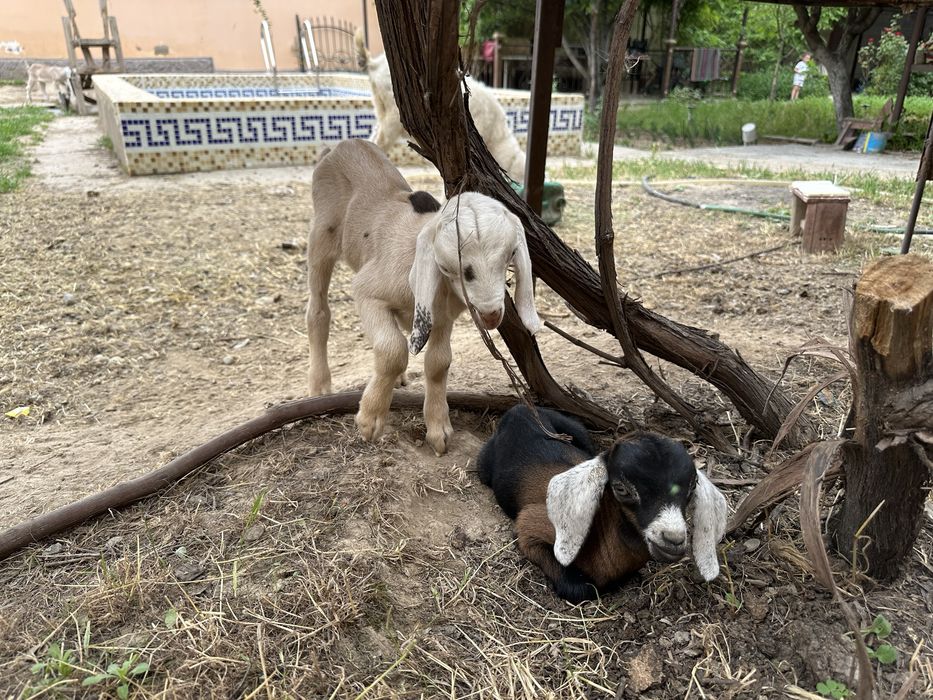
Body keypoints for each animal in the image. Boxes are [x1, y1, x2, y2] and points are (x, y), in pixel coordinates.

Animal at [306, 139, 541, 455]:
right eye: (449, 266)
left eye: (510, 256)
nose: (491, 315)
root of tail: (342, 145)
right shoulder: (367, 291)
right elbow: (392, 350)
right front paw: (370, 420)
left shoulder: (442, 317)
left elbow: (438, 363)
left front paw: (439, 430)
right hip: (322, 233)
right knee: (318, 310)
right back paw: (319, 385)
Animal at [477, 405, 728, 603]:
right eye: (621, 488)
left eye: (692, 487)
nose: (673, 540)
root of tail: (520, 409)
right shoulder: (529, 528)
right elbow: (581, 588)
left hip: (579, 431)